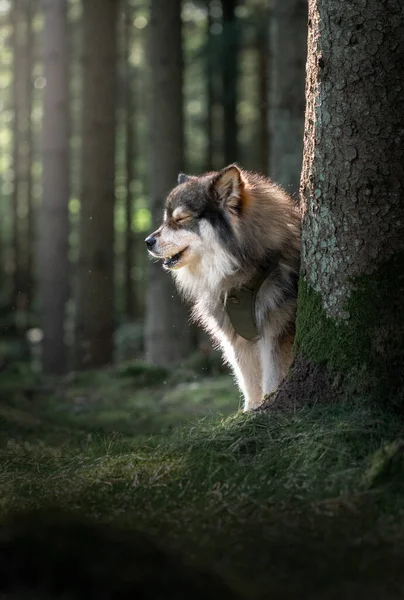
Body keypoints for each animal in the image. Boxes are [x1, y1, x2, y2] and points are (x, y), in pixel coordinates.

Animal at [145, 164, 300, 410]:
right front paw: (251, 412)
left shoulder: (276, 333)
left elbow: (271, 380)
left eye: (181, 218)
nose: (147, 242)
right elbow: (250, 386)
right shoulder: (237, 340)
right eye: (166, 220)